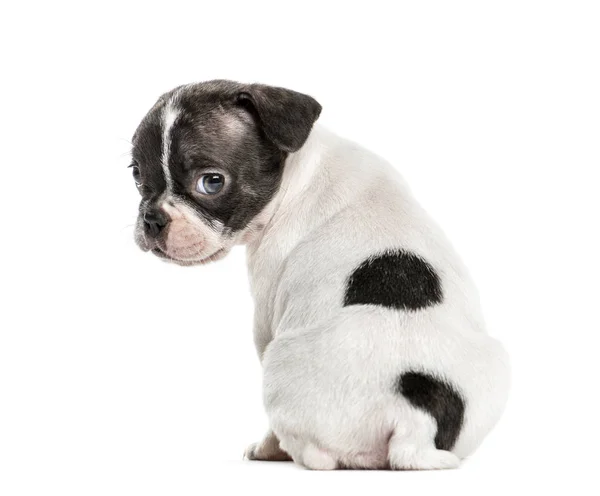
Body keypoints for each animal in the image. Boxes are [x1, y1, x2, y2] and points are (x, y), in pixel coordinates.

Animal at [129, 79, 508, 470]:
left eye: (211, 182)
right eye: (137, 176)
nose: (152, 218)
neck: (299, 173)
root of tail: (415, 420)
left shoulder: (266, 310)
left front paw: (264, 449)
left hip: (281, 366)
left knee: (315, 455)